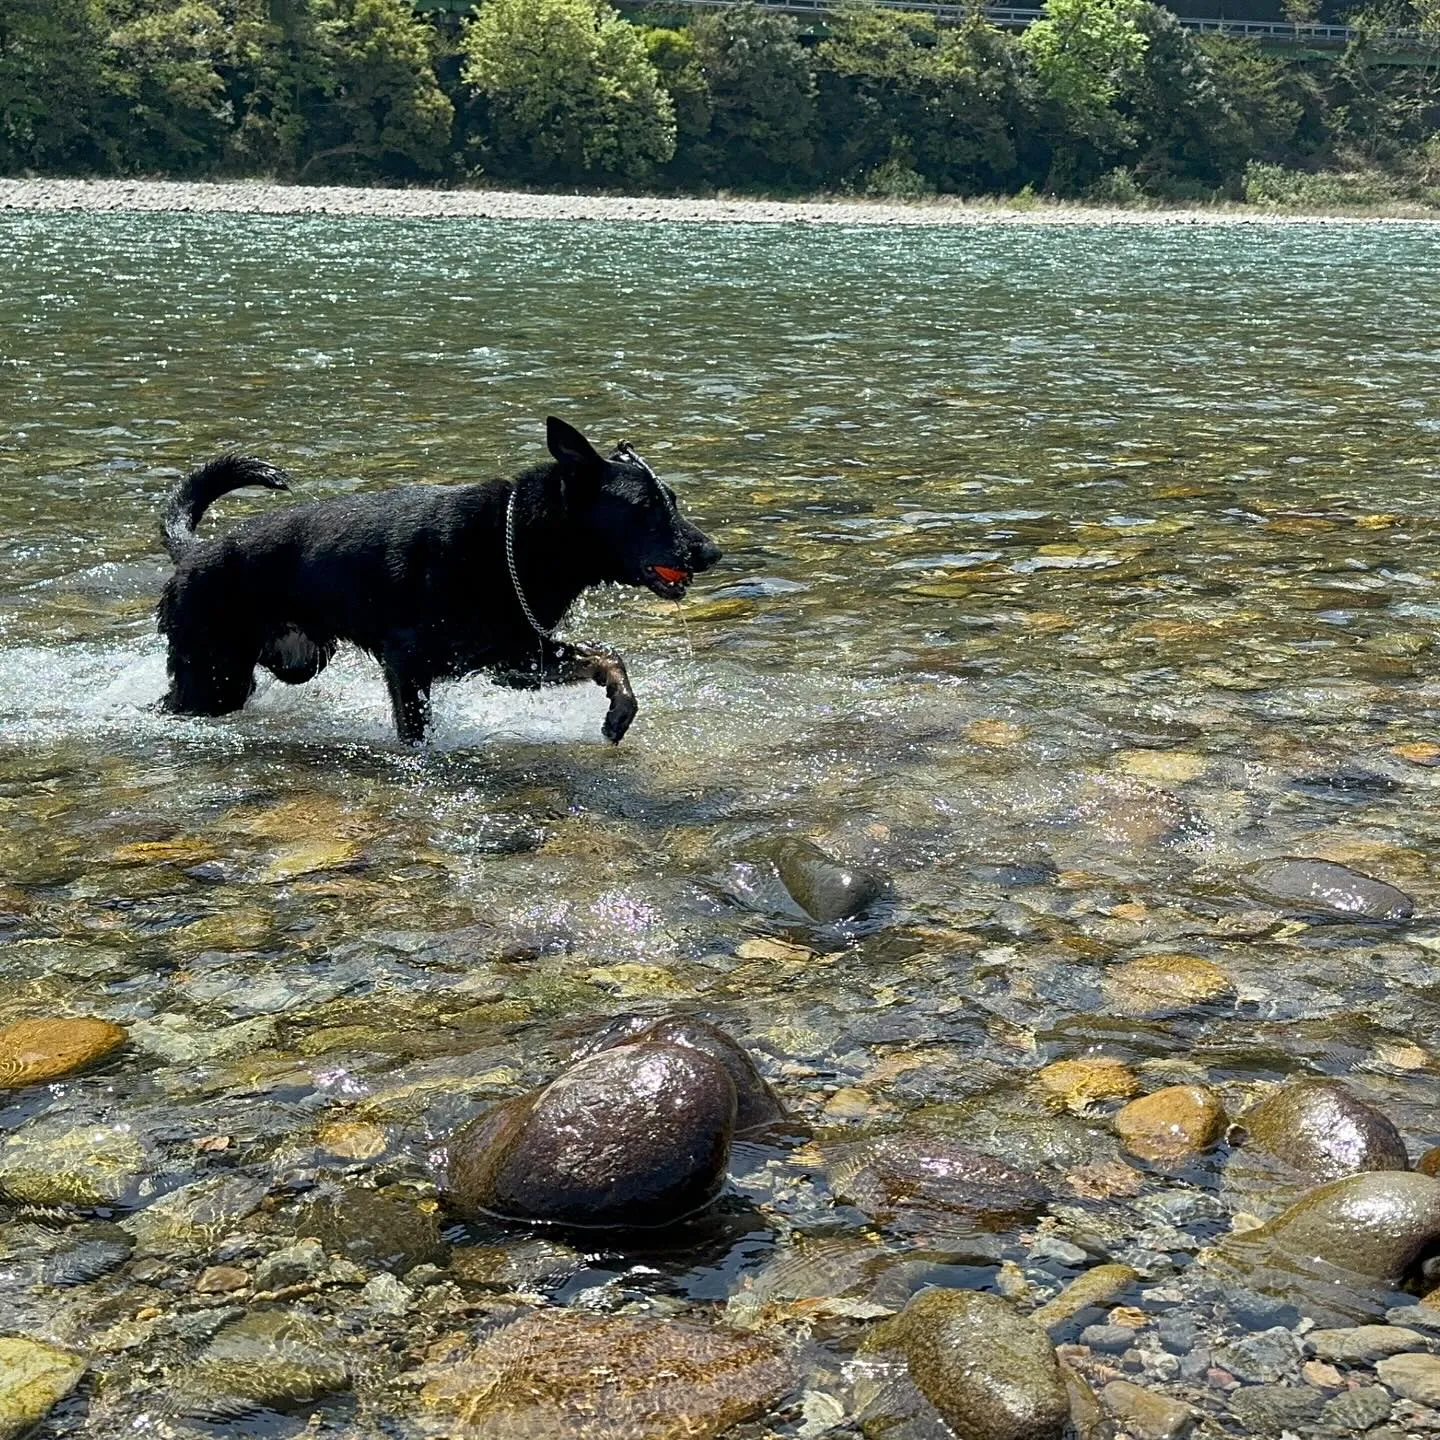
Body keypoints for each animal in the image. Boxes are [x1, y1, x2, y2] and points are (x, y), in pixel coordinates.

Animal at [156, 417, 720, 743]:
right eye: (646, 507)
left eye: (673, 501)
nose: (712, 552)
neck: (515, 543)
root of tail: (196, 550)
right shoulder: (408, 664)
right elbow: (416, 732)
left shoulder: (516, 659)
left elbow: (607, 656)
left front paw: (620, 709)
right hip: (214, 678)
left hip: (299, 660)